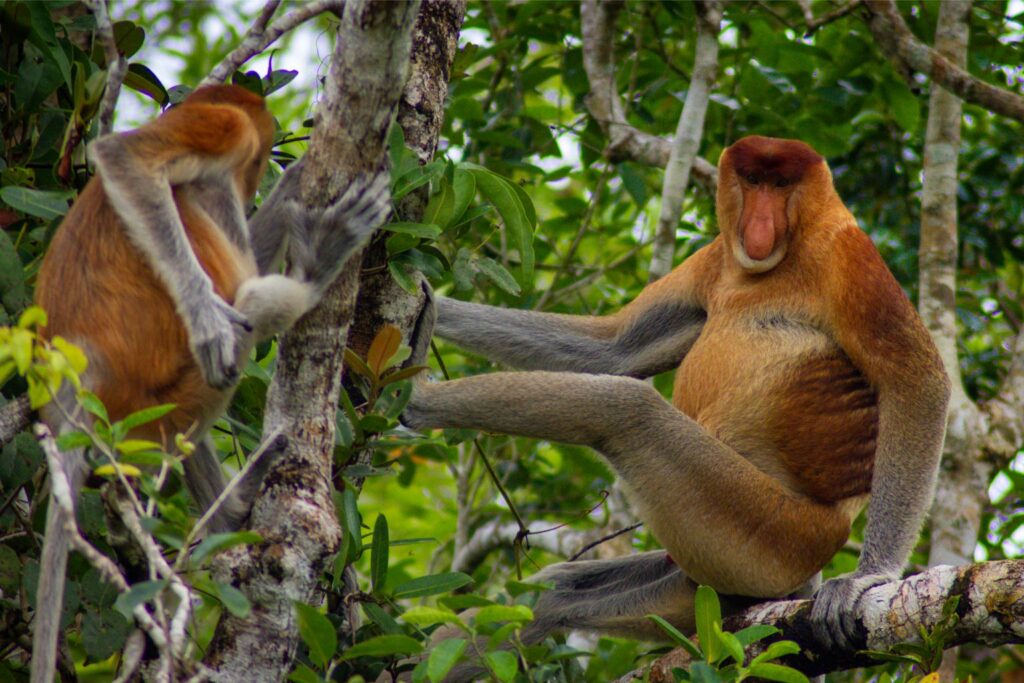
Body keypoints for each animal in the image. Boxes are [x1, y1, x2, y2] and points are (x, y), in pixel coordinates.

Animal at [401, 135, 950, 663]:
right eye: (752, 180)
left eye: (780, 184)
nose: (760, 222)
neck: (773, 265)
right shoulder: (714, 258)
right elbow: (617, 348)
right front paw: (432, 297)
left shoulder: (845, 254)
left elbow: (917, 382)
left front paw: (868, 577)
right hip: (700, 582)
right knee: (553, 592)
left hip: (768, 536)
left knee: (626, 411)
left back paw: (415, 400)